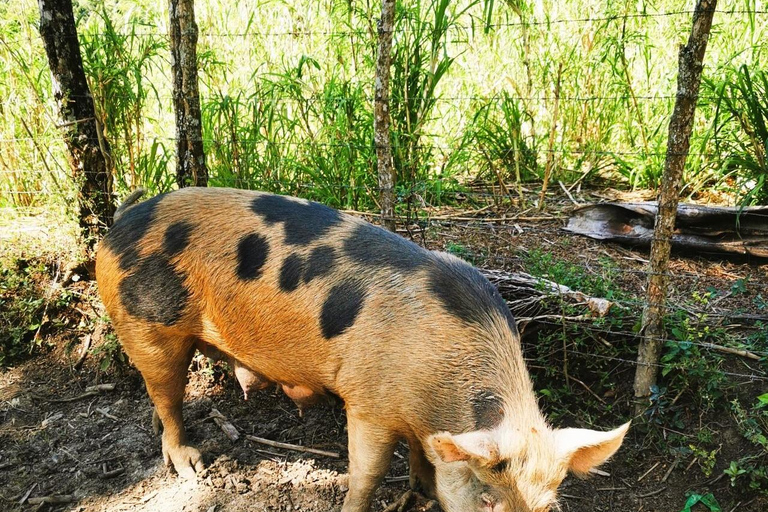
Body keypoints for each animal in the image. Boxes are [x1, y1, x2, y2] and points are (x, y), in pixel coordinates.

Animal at [96, 188, 628, 512]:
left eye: (547, 507)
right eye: (488, 499)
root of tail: (121, 221)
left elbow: (422, 459)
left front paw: (421, 489)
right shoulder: (369, 402)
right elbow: (366, 473)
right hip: (148, 323)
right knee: (167, 390)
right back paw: (190, 464)